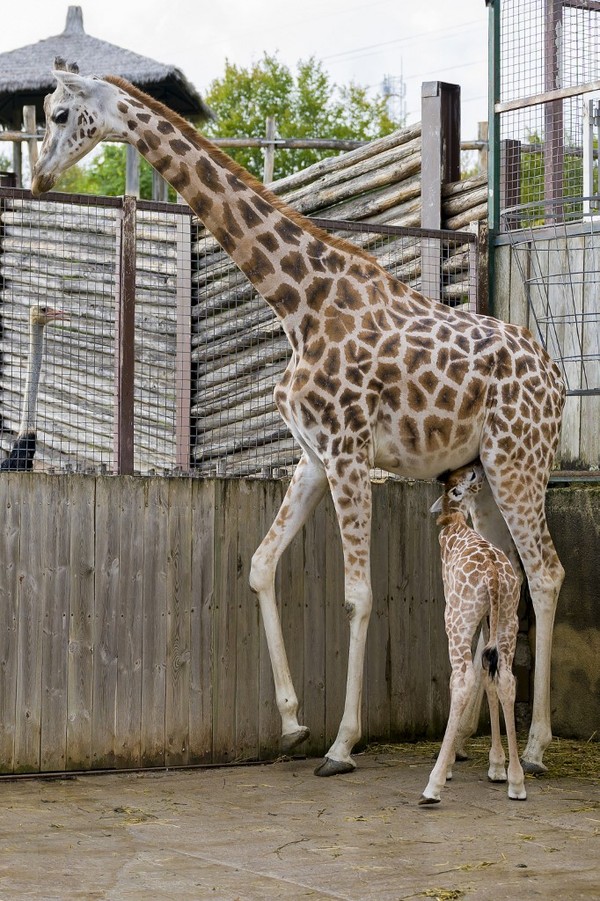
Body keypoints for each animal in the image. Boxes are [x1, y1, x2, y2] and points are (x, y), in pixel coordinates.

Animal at [422, 460, 524, 804]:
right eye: (467, 475)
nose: (476, 467)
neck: (454, 524)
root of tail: (493, 574)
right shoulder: (489, 620)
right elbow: (489, 676)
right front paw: (497, 767)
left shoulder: (459, 612)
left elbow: (469, 677)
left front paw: (452, 765)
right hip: (508, 619)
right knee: (506, 678)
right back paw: (517, 783)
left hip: (457, 619)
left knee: (461, 679)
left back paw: (433, 785)